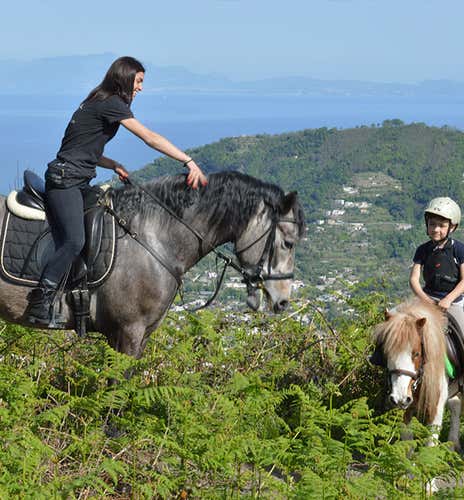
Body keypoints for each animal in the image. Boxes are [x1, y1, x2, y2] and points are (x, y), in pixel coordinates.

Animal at [372, 297, 462, 451]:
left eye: (416, 354)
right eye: (386, 353)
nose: (400, 397)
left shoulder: (435, 407)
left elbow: (430, 447)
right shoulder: (404, 409)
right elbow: (407, 440)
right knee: (456, 404)